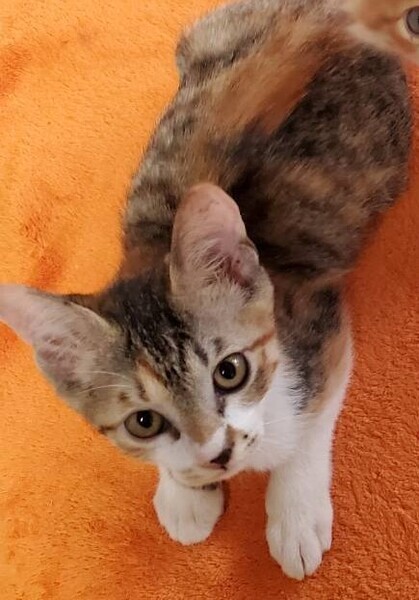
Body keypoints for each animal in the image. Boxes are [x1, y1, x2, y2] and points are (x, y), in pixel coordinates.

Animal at [0, 0, 415, 580]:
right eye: (144, 421)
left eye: (229, 371)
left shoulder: (316, 319)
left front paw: (294, 515)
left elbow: (311, 422)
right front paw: (185, 493)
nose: (217, 454)